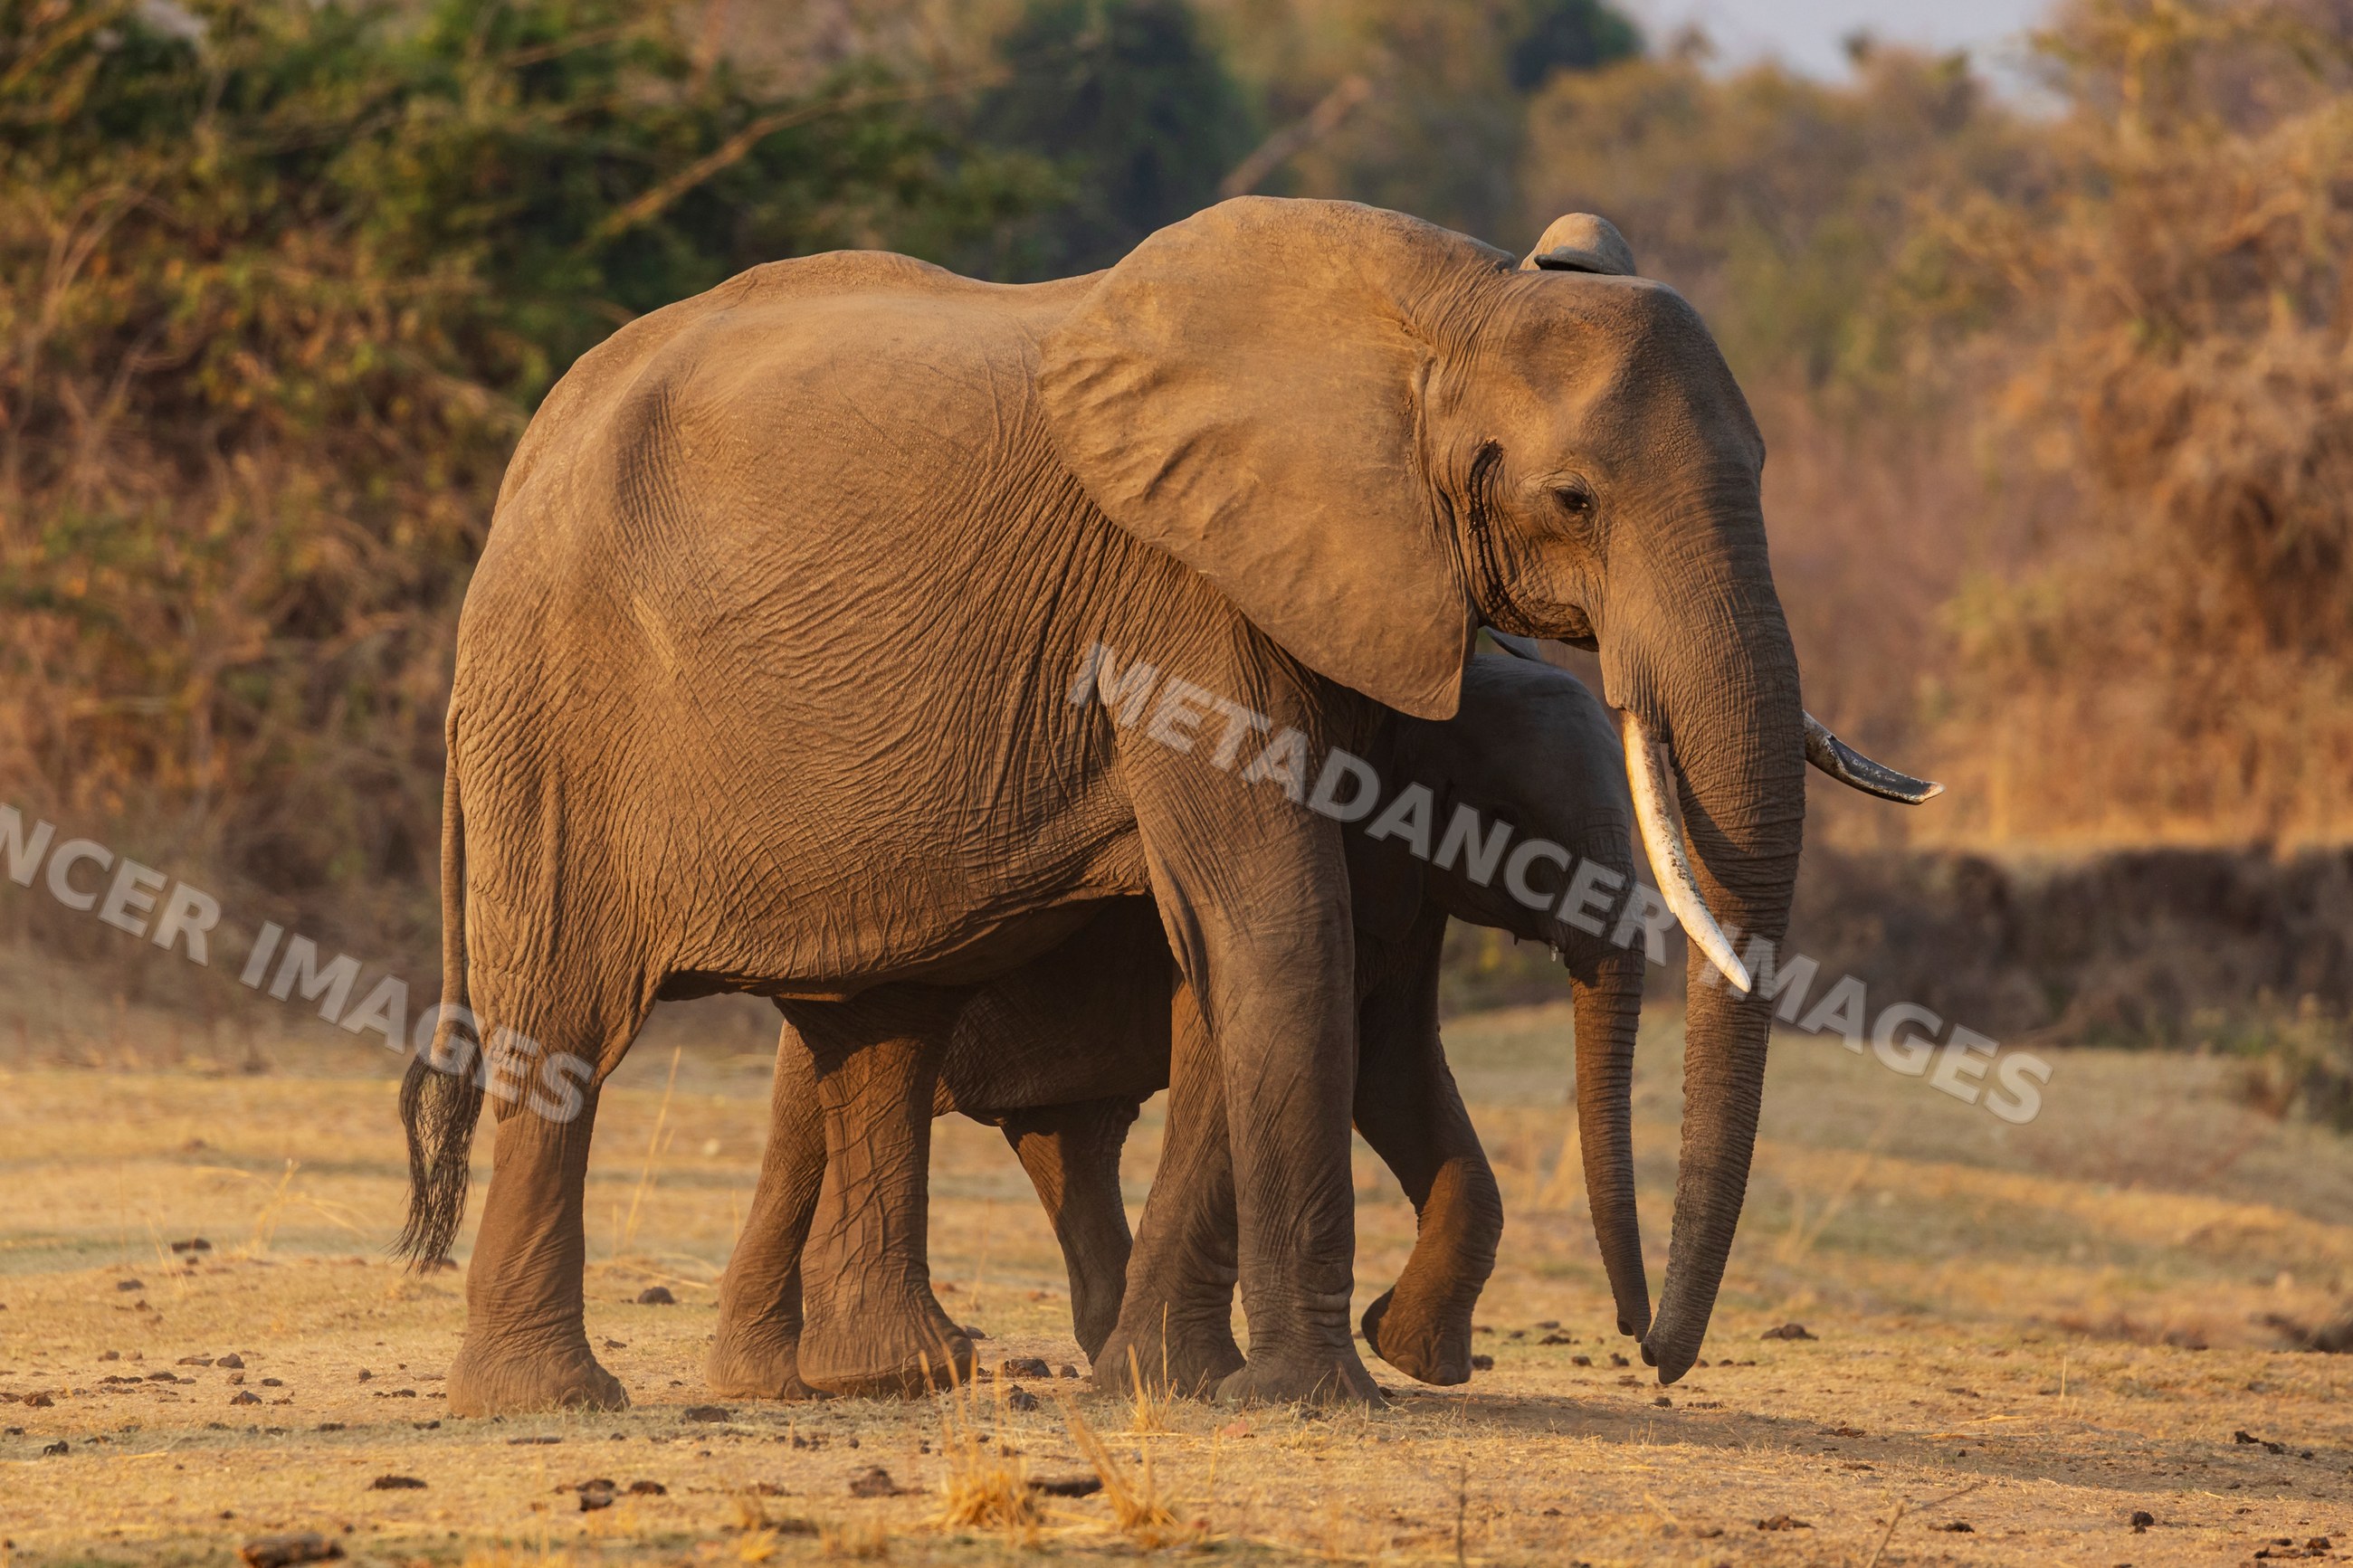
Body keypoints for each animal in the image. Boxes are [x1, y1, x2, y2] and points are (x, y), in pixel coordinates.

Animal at [704, 652, 1650, 1400]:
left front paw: (1412, 1355)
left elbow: (1394, 1065)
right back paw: (773, 1381)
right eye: (1519, 830)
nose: (1642, 1338)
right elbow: (1354, 1060)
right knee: (810, 1109)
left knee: (1066, 1140)